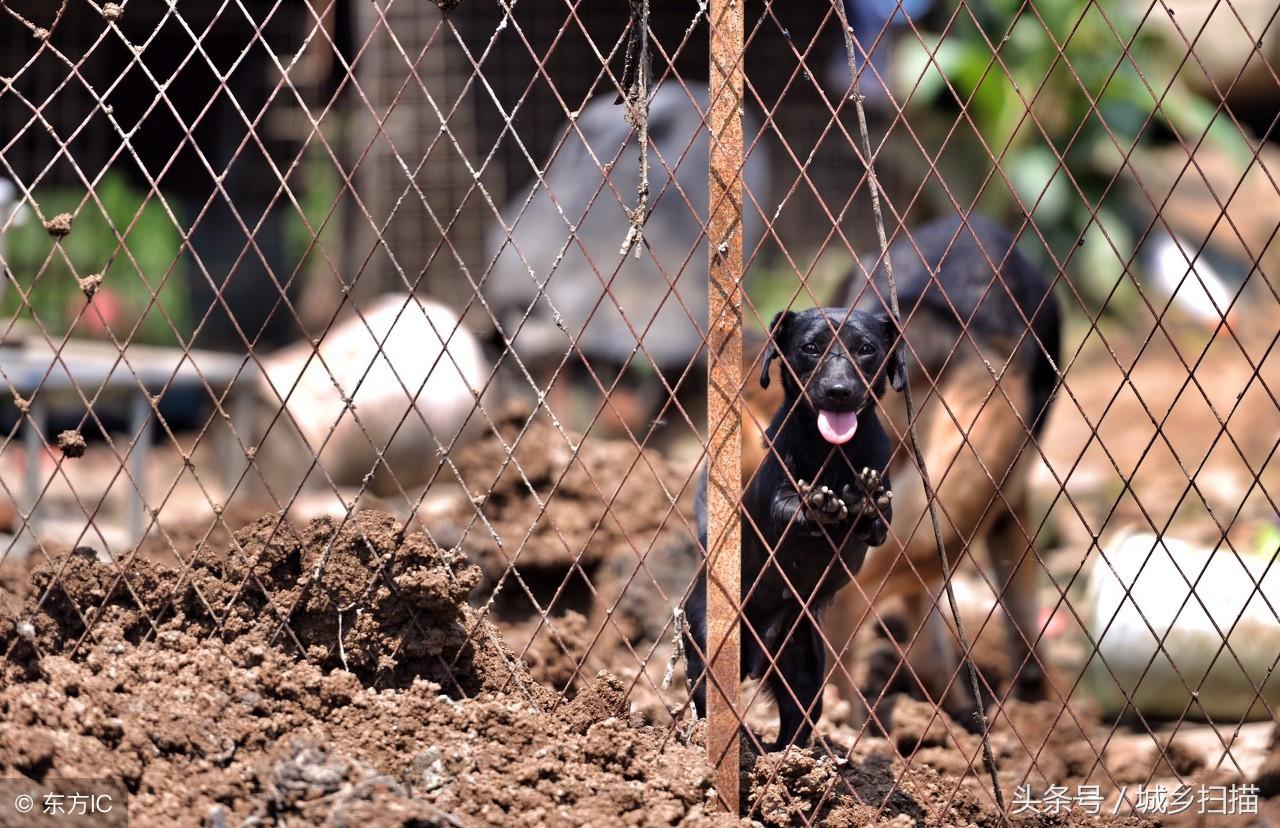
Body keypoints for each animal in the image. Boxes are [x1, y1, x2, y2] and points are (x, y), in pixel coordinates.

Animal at [686, 307, 906, 747]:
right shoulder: (775, 502)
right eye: (810, 347)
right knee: (707, 706)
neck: (831, 453)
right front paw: (818, 502)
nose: (838, 391)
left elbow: (877, 516)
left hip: (803, 668)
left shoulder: (880, 521)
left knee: (796, 726)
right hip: (708, 651)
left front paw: (862, 498)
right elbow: (790, 506)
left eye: (866, 349)